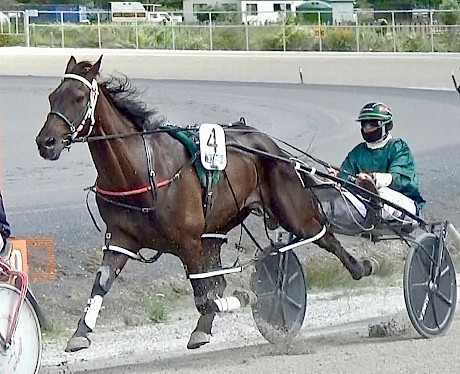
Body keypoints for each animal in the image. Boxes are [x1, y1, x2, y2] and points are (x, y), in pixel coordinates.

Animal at [36, 55, 374, 350]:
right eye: (52, 96)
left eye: (79, 97)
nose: (45, 143)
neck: (141, 170)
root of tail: (270, 144)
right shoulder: (121, 240)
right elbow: (102, 285)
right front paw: (80, 334)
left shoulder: (188, 241)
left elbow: (205, 296)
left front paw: (248, 298)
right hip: (215, 231)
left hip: (292, 209)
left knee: (324, 234)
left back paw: (361, 267)